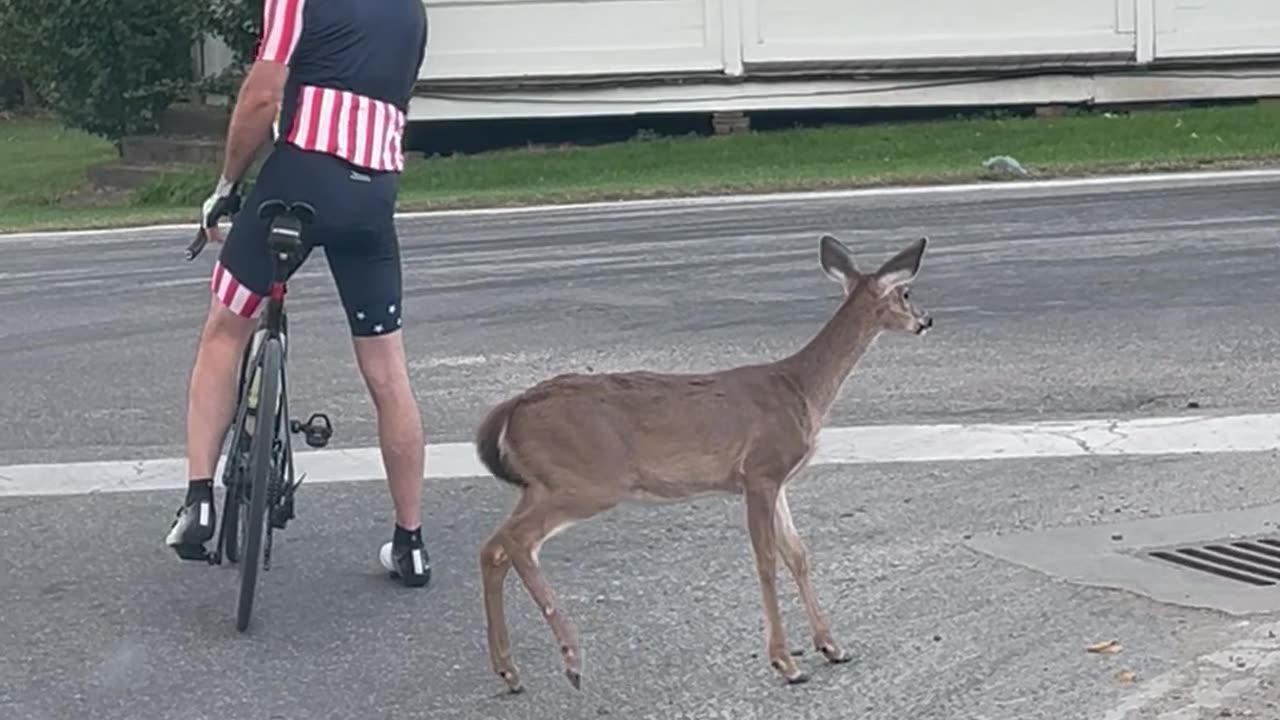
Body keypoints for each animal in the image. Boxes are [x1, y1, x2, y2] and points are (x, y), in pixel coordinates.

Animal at [472, 233, 932, 693]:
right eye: (906, 293)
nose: (926, 319)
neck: (801, 389)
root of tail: (510, 410)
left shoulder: (778, 480)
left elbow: (798, 554)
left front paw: (832, 647)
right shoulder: (761, 470)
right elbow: (766, 561)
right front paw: (785, 662)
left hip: (543, 483)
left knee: (493, 547)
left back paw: (508, 670)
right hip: (587, 480)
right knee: (516, 541)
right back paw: (571, 657)